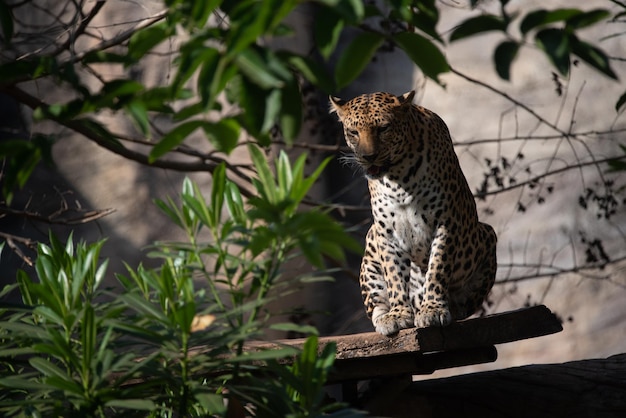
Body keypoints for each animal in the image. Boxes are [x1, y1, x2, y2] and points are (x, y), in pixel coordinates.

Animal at [330, 90, 494, 336]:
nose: (368, 156)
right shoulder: (386, 233)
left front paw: (433, 309)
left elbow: (437, 267)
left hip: (487, 235)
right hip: (370, 243)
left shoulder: (445, 222)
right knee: (376, 302)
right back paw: (385, 316)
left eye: (383, 128)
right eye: (353, 132)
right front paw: (398, 314)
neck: (398, 179)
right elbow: (394, 275)